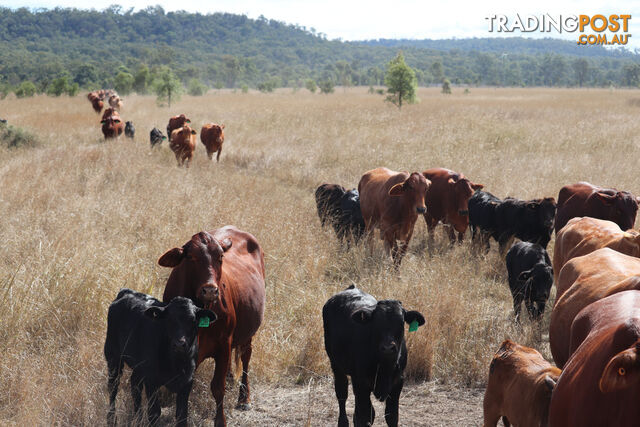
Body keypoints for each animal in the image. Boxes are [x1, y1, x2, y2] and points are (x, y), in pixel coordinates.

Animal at [104, 290, 216, 426]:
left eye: (192, 320)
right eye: (169, 319)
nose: (179, 344)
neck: (175, 362)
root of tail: (126, 292)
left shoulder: (187, 380)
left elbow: (182, 415)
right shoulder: (151, 380)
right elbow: (154, 412)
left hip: (138, 366)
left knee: (135, 386)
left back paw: (137, 419)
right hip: (113, 356)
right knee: (113, 386)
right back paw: (111, 419)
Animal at [159, 226, 266, 426]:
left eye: (220, 257)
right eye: (191, 257)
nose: (210, 290)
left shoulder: (223, 344)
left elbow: (217, 387)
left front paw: (220, 421)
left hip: (248, 333)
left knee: (246, 358)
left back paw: (244, 398)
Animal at [324, 286, 424, 426]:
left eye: (401, 322)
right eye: (376, 323)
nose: (388, 347)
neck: (384, 366)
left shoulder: (398, 382)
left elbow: (391, 416)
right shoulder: (361, 382)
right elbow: (365, 416)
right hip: (336, 365)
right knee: (342, 394)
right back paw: (343, 422)